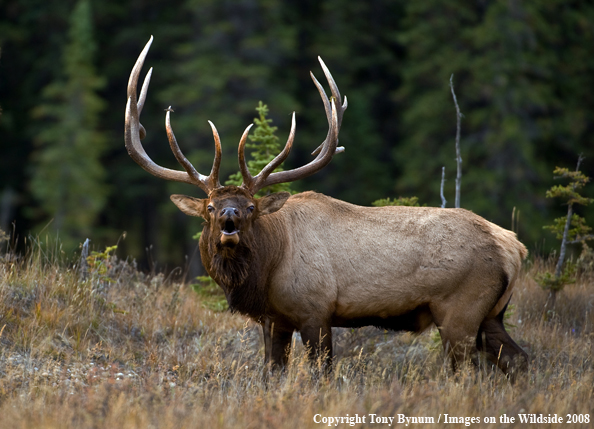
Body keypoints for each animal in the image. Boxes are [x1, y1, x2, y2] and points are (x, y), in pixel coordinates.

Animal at [126, 38, 528, 376]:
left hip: (461, 309)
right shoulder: (274, 319)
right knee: (518, 358)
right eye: (210, 206)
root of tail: (514, 246)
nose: (229, 218)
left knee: (467, 370)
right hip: (491, 314)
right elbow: (273, 372)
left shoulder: (315, 310)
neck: (268, 268)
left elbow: (323, 374)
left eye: (251, 206)